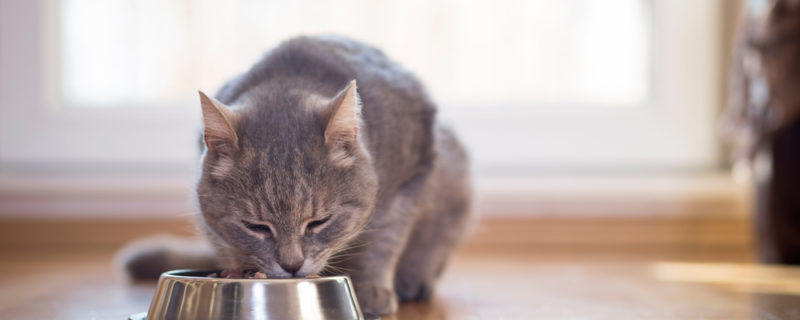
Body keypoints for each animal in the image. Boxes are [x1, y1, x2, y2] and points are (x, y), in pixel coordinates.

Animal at [124, 35, 472, 316]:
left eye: (319, 222)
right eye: (256, 227)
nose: (291, 266)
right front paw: (236, 271)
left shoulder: (409, 179)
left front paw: (372, 288)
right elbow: (225, 242)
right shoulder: (211, 219)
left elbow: (384, 239)